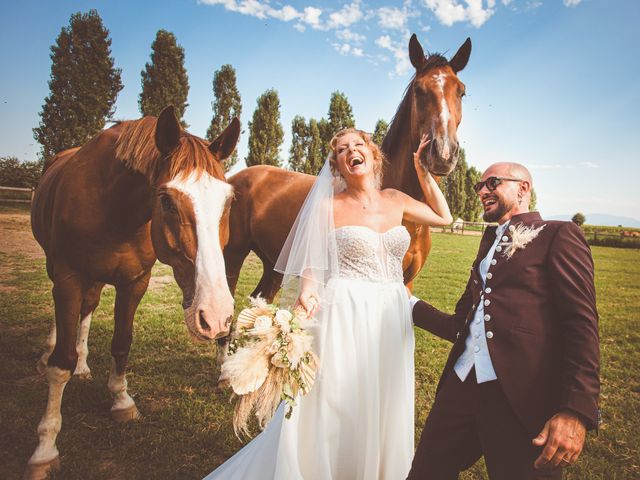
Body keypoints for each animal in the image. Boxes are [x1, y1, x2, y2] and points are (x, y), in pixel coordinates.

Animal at [24, 107, 240, 478]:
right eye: (166, 200)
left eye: (229, 201)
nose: (215, 315)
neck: (113, 209)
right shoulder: (68, 277)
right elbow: (60, 363)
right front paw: (45, 448)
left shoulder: (135, 282)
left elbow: (122, 343)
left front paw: (121, 401)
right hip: (58, 268)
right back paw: (49, 353)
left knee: (88, 308)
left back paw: (84, 365)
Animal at [224, 35, 470, 302]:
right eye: (418, 90)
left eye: (461, 92)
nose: (443, 153)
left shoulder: (407, 283)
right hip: (232, 257)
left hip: (275, 265)